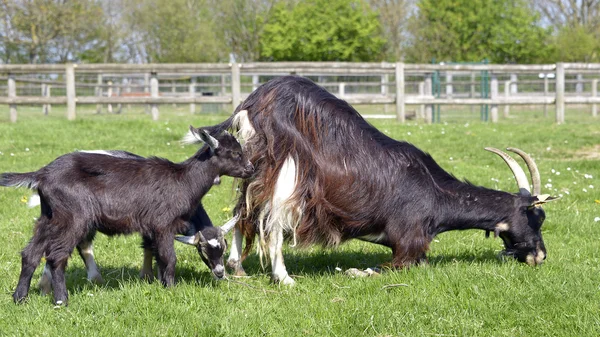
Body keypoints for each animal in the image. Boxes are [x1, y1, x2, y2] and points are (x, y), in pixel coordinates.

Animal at [0, 126, 253, 304]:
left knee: (31, 253)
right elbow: (169, 258)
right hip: (73, 217)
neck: (183, 180)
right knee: (56, 256)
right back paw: (61, 300)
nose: (250, 169)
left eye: (223, 246)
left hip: (49, 216)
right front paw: (171, 289)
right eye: (233, 153)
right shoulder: (163, 224)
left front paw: (158, 282)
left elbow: (156, 255)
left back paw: (20, 298)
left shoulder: (151, 228)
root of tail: (41, 174)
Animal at [205, 75, 556, 284]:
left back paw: (237, 267)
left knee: (244, 211)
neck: (435, 194)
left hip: (256, 164)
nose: (540, 256)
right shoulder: (407, 242)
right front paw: (356, 270)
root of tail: (253, 101)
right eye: (536, 217)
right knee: (271, 219)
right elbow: (396, 266)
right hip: (288, 166)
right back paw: (283, 277)